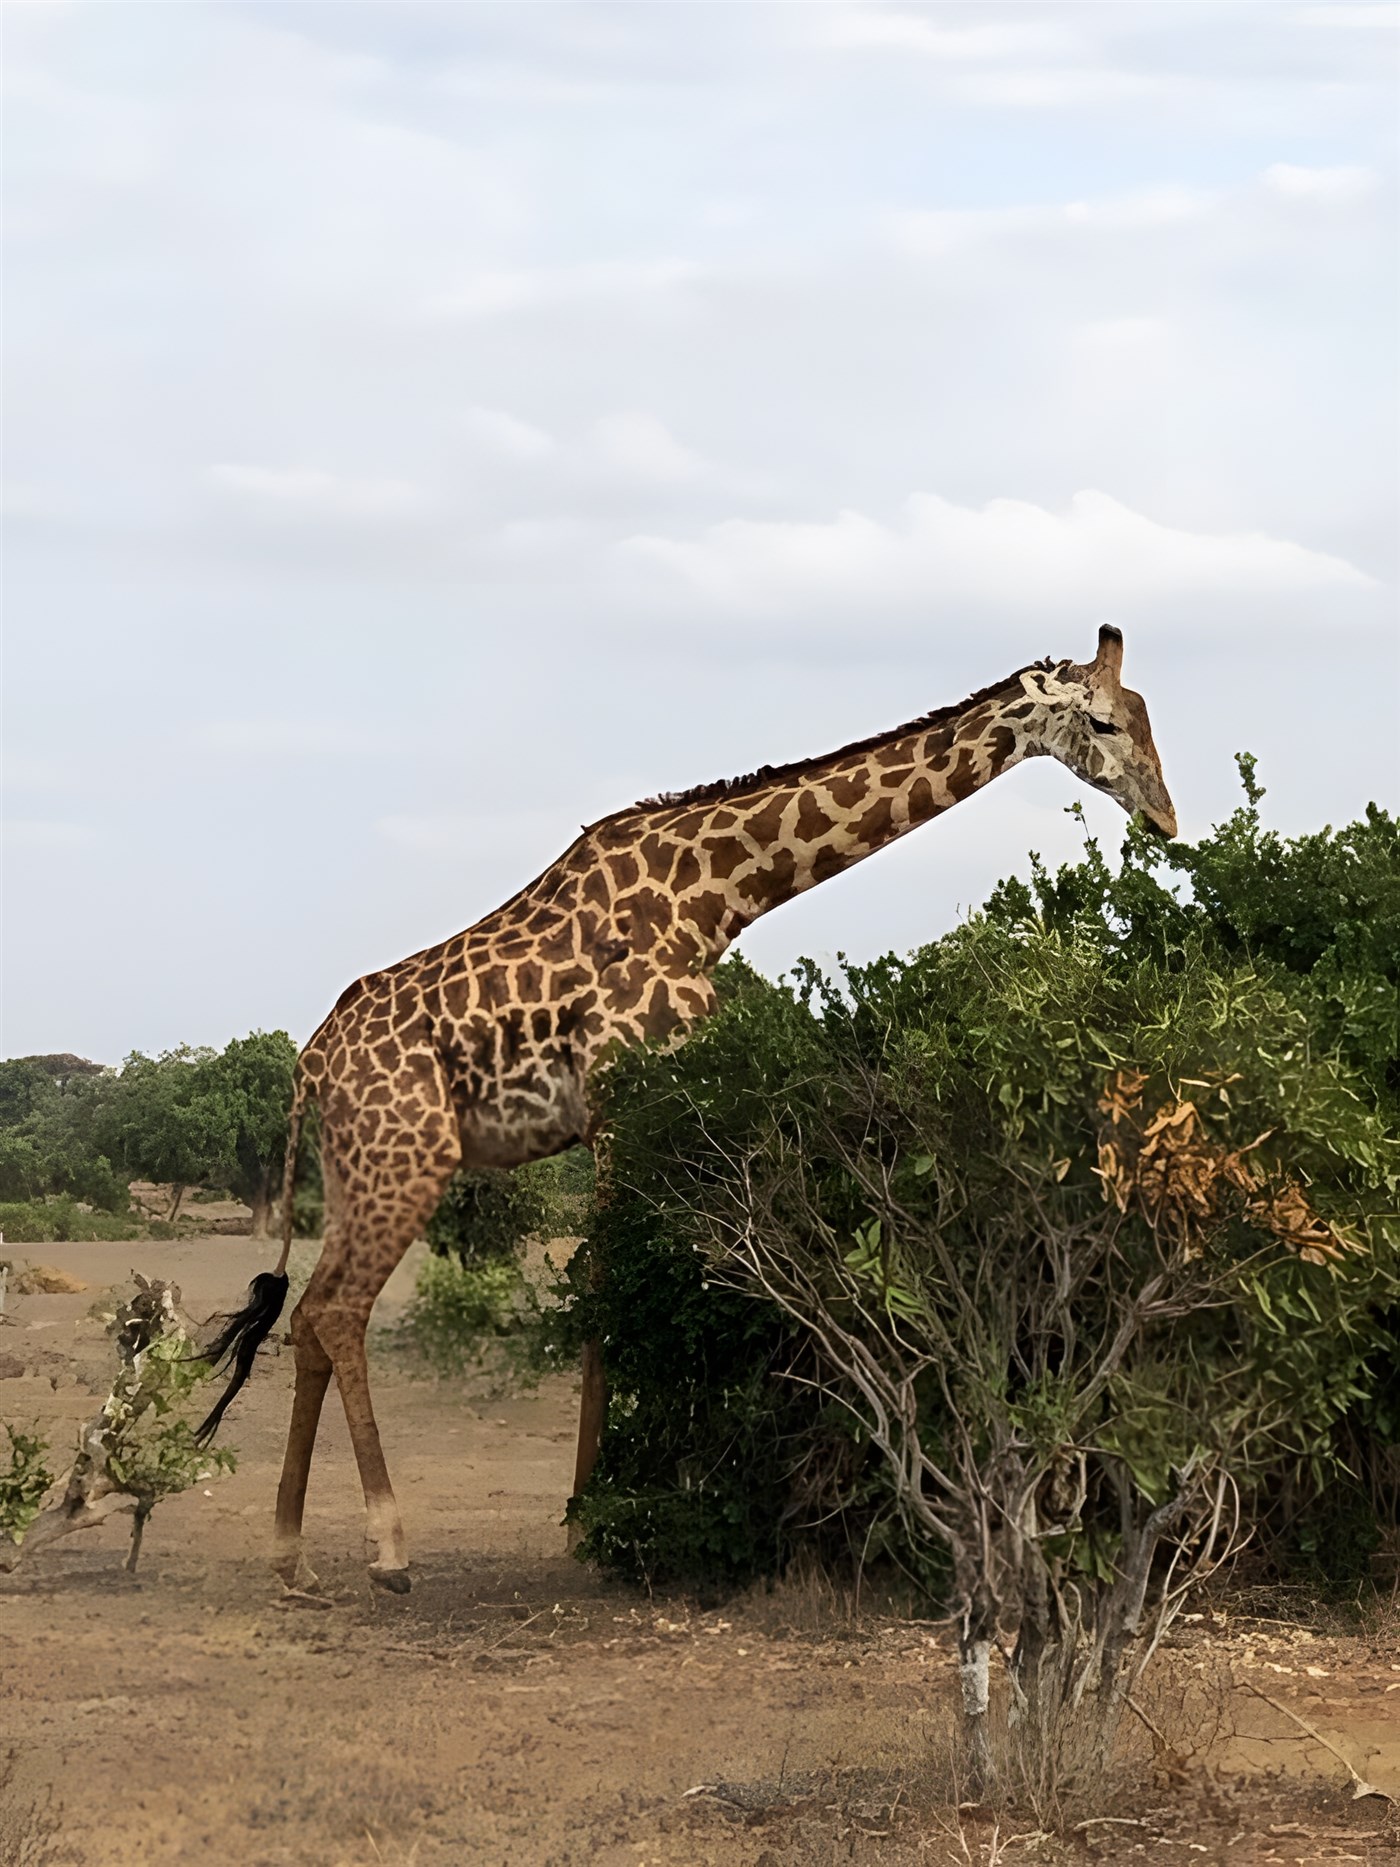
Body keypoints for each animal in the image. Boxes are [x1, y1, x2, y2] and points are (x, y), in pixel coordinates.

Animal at [197, 625, 1175, 1593]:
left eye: (1146, 714)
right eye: (1102, 720)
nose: (1166, 816)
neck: (717, 896)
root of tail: (309, 1067)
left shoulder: (641, 1106)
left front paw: (610, 1501)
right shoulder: (624, 1098)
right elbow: (618, 1294)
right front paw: (596, 1515)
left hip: (358, 1168)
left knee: (309, 1315)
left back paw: (289, 1550)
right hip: (409, 1157)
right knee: (337, 1311)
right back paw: (389, 1546)